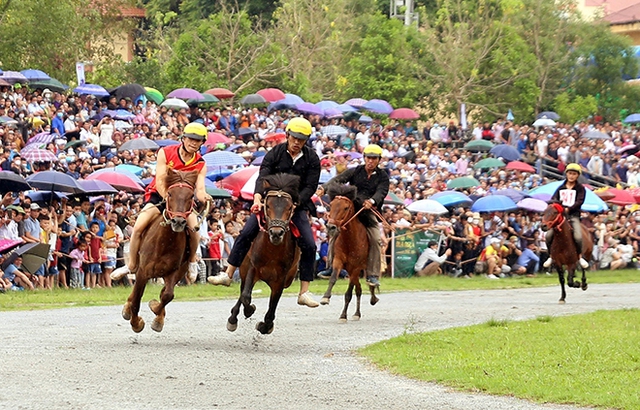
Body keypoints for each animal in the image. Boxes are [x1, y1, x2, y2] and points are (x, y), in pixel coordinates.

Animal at [120, 168, 200, 332]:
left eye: (191, 196)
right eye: (170, 194)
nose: (178, 221)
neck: (164, 242)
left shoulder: (173, 272)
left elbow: (167, 295)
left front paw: (156, 313)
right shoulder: (143, 272)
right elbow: (137, 299)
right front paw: (136, 323)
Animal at [226, 175, 302, 334]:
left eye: (289, 207)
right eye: (267, 206)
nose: (276, 233)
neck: (272, 250)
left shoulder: (281, 279)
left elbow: (272, 307)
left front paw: (265, 326)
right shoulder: (253, 268)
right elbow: (246, 297)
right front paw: (249, 310)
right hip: (244, 269)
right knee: (242, 292)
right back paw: (233, 318)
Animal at [318, 184, 378, 322]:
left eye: (346, 207)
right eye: (331, 204)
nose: (331, 227)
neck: (350, 240)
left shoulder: (355, 267)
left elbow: (348, 293)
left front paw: (343, 316)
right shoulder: (338, 261)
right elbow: (333, 278)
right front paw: (325, 297)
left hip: (362, 268)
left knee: (367, 284)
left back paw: (372, 299)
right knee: (359, 288)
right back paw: (357, 313)